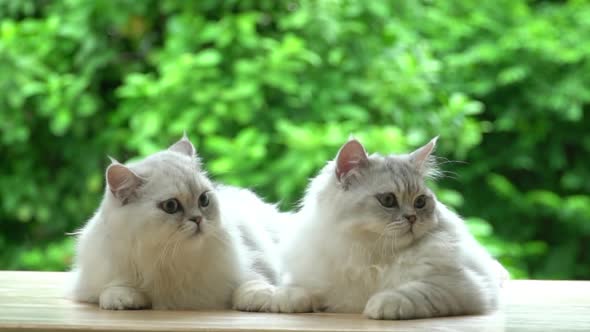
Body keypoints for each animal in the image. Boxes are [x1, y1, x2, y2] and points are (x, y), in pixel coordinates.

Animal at [69, 136, 282, 310]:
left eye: (204, 200)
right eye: (171, 206)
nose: (197, 219)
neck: (171, 259)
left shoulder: (254, 265)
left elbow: (250, 284)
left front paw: (258, 298)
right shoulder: (91, 282)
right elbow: (110, 290)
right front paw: (126, 300)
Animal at [236, 137, 504, 320]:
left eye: (420, 202)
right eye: (388, 200)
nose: (412, 218)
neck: (368, 253)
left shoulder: (458, 286)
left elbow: (414, 291)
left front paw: (379, 305)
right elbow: (295, 291)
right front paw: (281, 299)